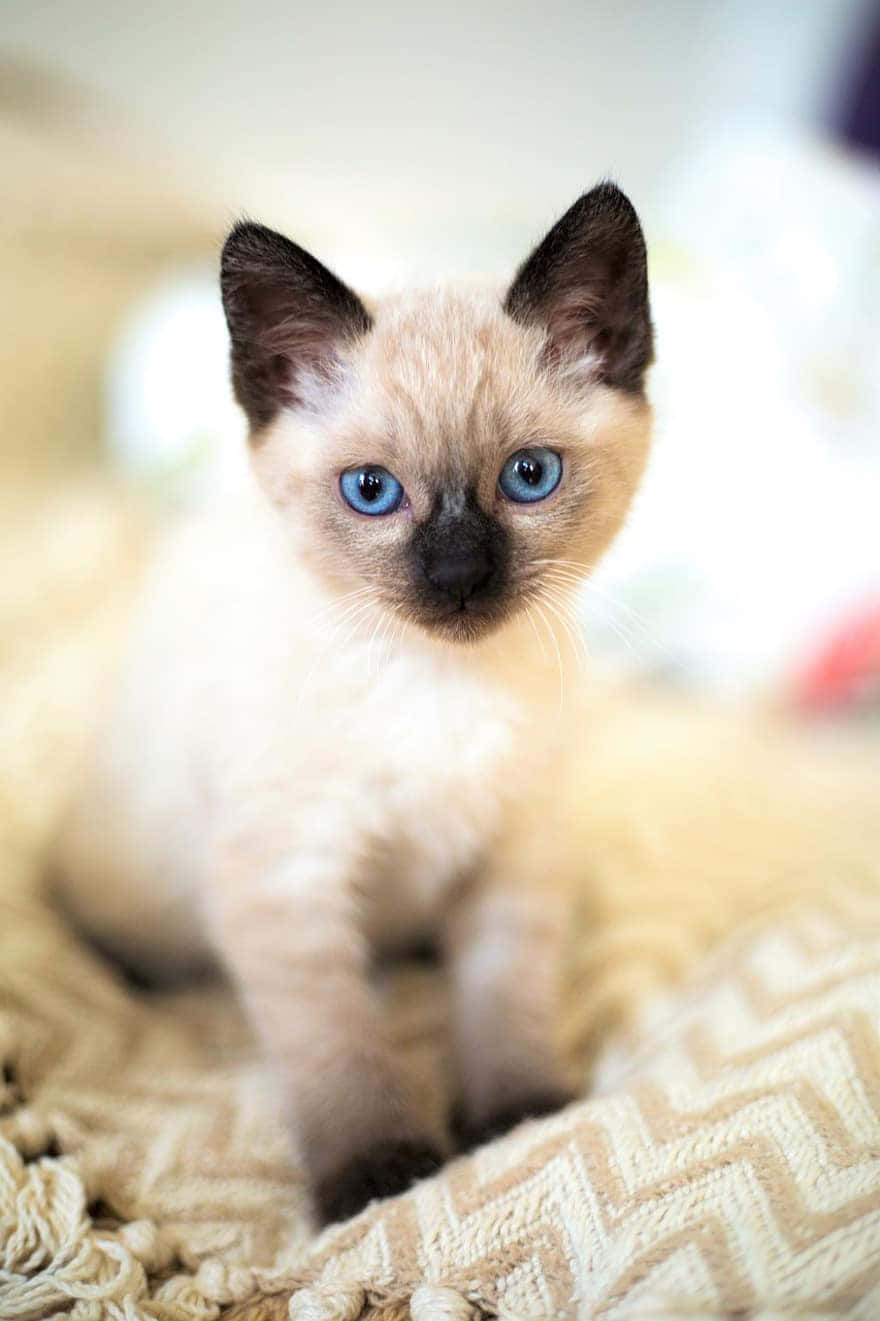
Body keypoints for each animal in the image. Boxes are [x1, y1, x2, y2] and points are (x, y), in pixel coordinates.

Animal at [54, 180, 650, 1220]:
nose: (458, 577)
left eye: (529, 477)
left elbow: (504, 998)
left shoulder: (516, 853)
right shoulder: (288, 880)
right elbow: (336, 1047)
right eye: (372, 491)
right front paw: (377, 1175)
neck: (438, 683)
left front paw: (519, 1116)